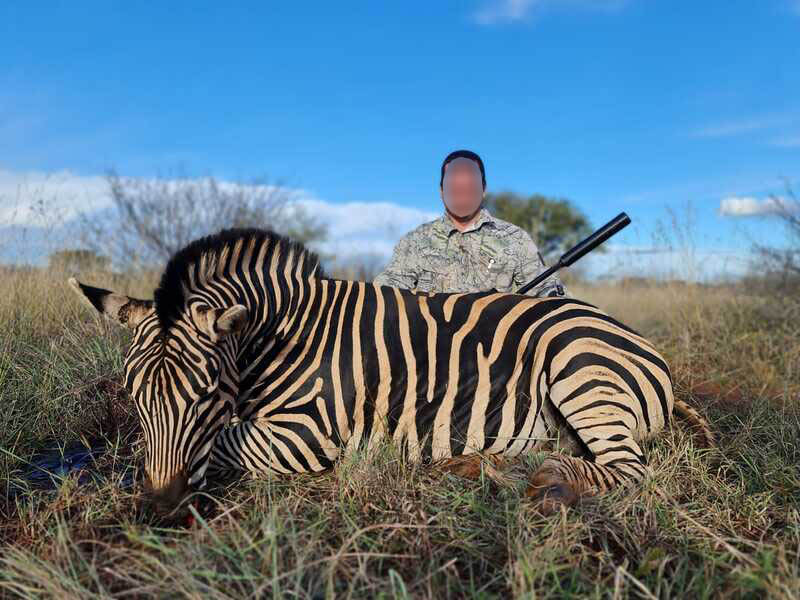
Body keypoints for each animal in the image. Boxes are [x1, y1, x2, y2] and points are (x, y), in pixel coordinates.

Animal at [68, 227, 712, 514]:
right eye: (135, 397)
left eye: (204, 396)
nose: (161, 504)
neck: (280, 336)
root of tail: (637, 342)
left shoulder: (311, 433)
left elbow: (226, 441)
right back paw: (483, 467)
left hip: (577, 369)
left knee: (628, 471)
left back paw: (545, 481)